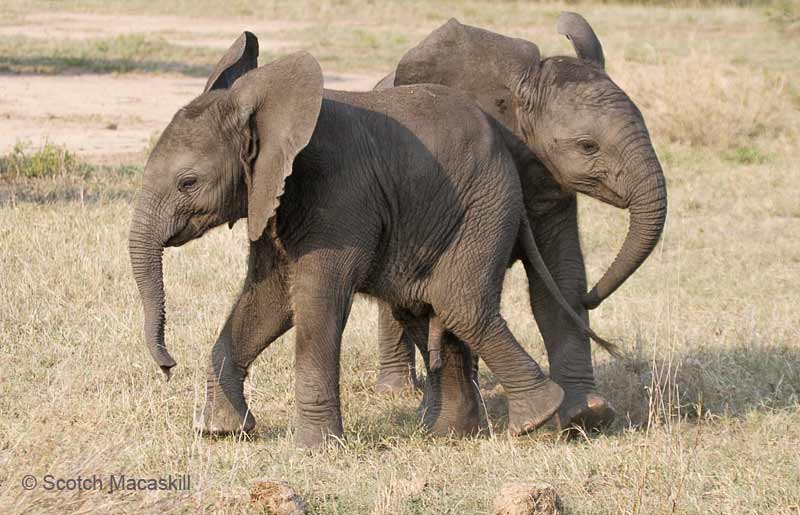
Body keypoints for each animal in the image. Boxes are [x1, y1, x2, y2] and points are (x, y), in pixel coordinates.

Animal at [130, 34, 612, 450]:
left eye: (188, 182)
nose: (168, 366)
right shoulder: (270, 198)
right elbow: (268, 300)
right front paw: (222, 432)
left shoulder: (340, 193)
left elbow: (316, 299)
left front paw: (314, 450)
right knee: (423, 305)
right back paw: (451, 434)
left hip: (483, 206)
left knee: (459, 302)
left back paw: (542, 419)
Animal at [372, 13, 664, 432]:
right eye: (587, 146)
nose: (594, 297)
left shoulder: (549, 182)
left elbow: (560, 278)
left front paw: (587, 415)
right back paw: (399, 392)